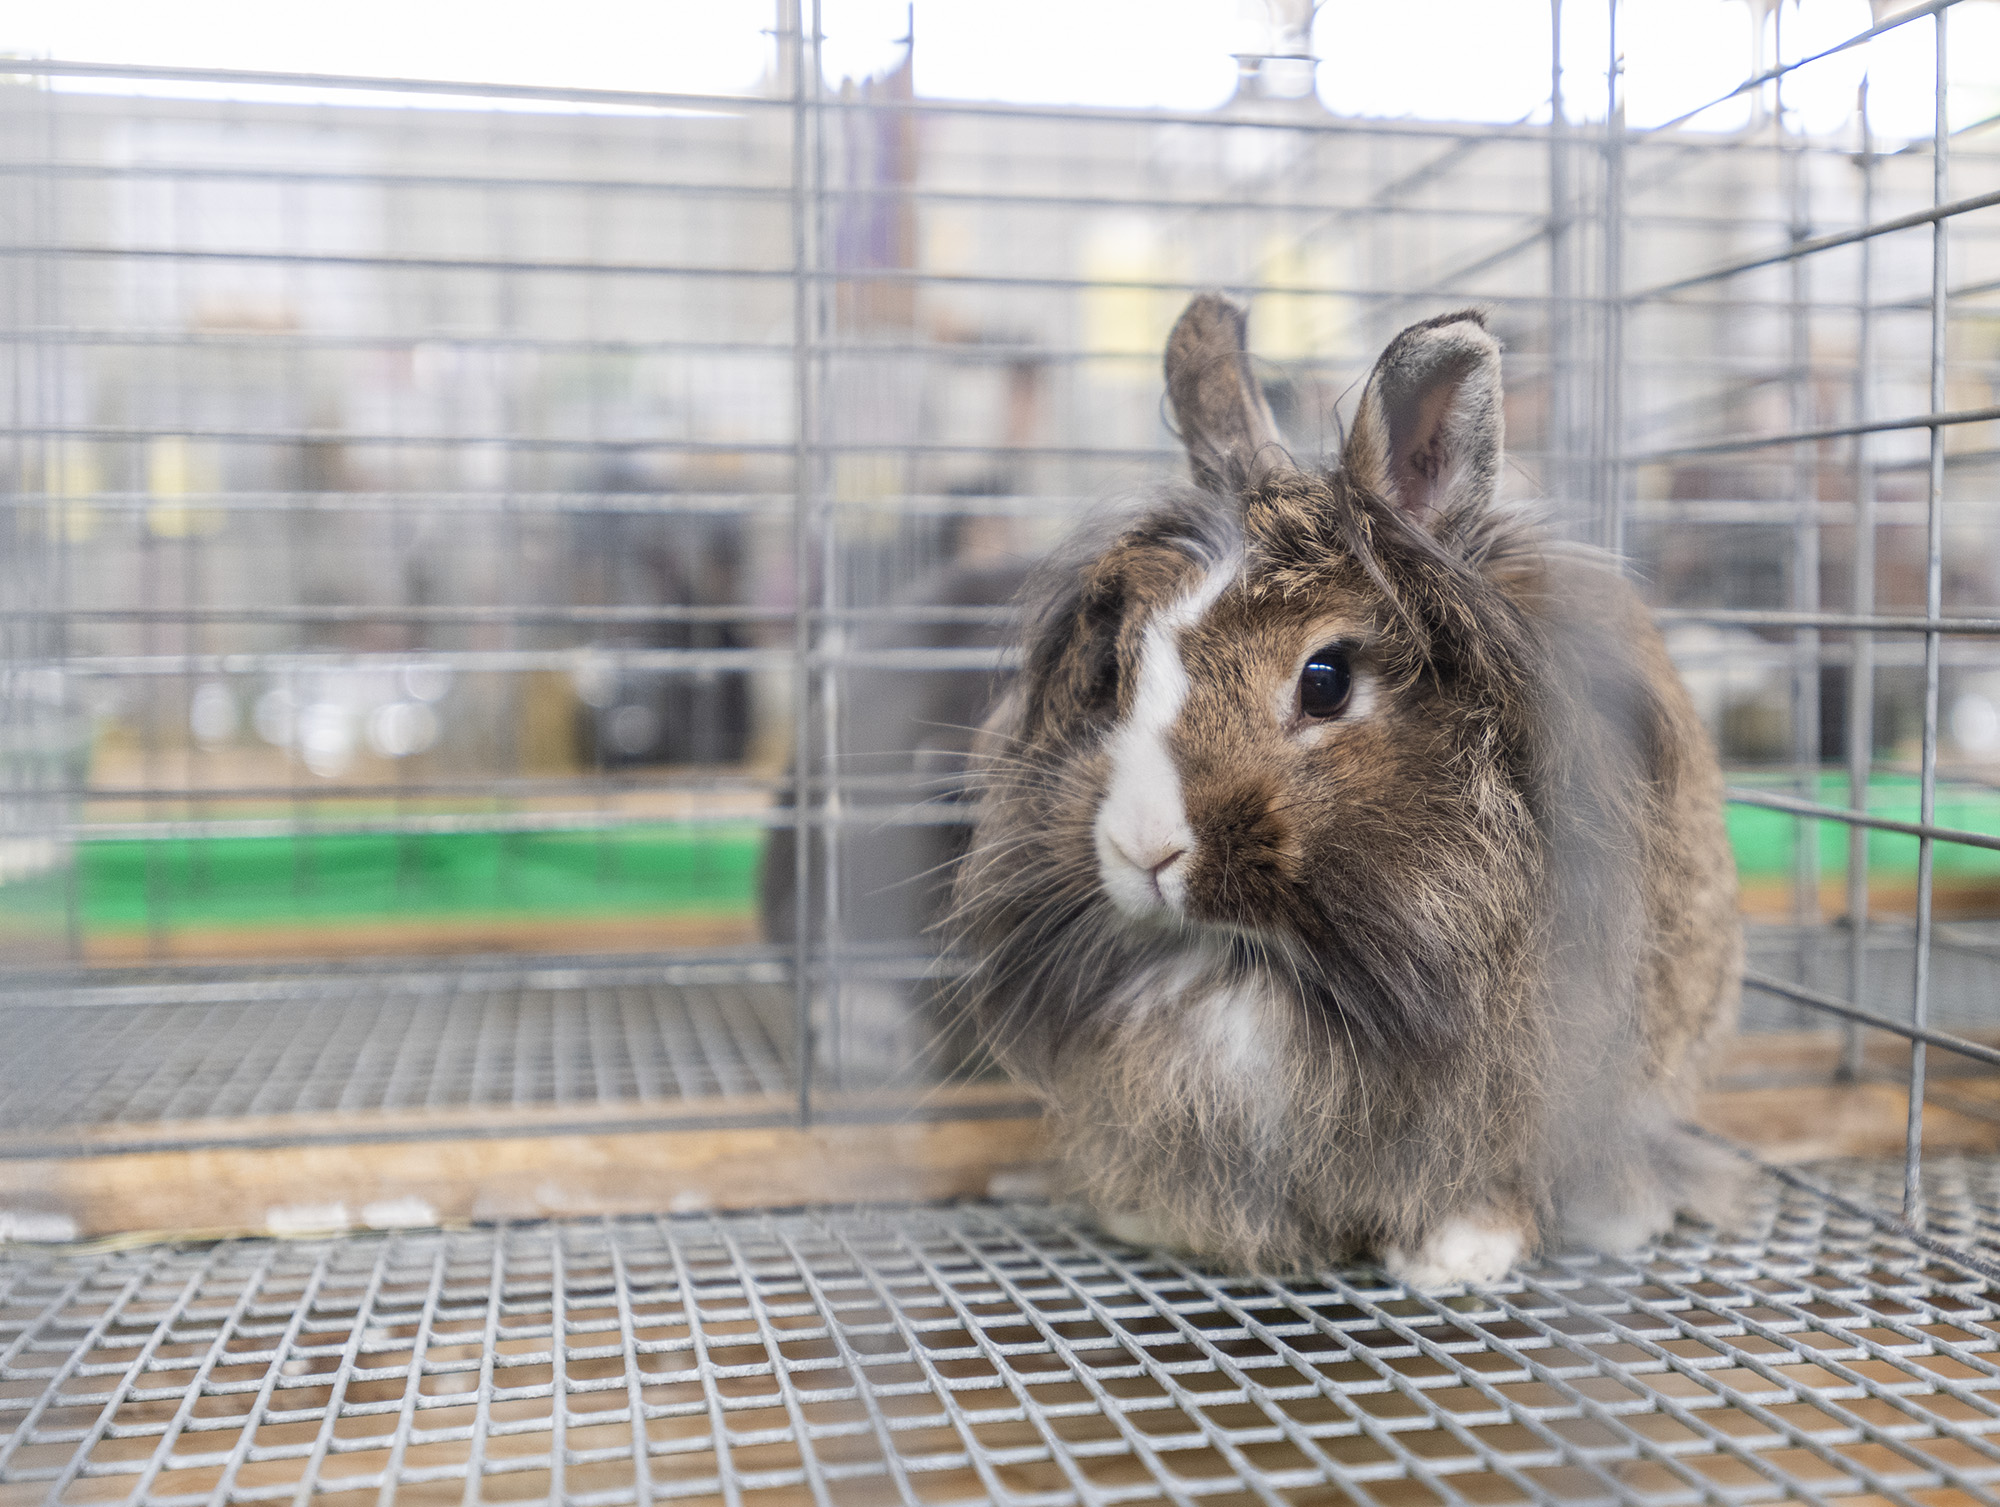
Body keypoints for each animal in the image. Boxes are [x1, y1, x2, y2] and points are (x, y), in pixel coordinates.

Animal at [944, 299, 1744, 1287]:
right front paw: (1154, 1218)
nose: (1143, 848)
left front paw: (1456, 1257)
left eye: (1324, 680)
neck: (1259, 958)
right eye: (1119, 669)